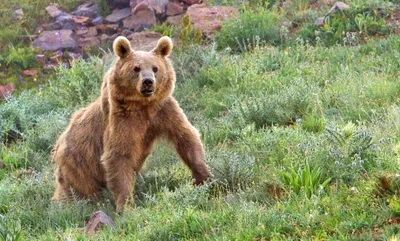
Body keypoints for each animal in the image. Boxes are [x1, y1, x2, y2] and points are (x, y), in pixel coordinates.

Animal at [52, 36, 212, 213]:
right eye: (136, 68)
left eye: (155, 68)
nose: (148, 82)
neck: (143, 106)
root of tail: (58, 144)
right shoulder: (122, 120)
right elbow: (119, 156)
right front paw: (126, 206)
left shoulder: (163, 111)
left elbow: (185, 136)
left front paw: (204, 177)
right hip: (78, 167)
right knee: (76, 191)